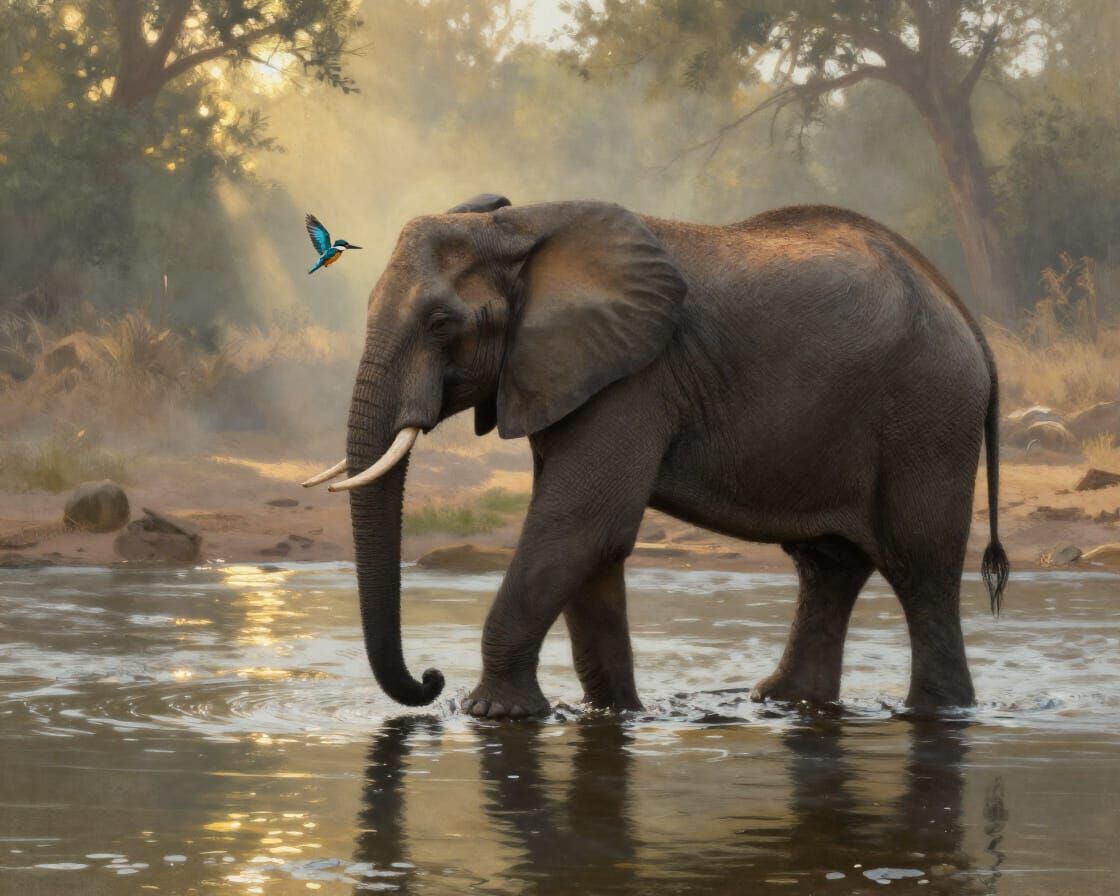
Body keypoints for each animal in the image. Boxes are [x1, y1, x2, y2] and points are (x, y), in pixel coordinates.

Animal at [303, 194, 1009, 718]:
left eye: (441, 324)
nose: (430, 680)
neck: (519, 228)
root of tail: (970, 323)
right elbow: (590, 548)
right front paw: (614, 715)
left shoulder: (633, 378)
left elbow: (580, 526)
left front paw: (490, 714)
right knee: (828, 567)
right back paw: (785, 704)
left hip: (928, 416)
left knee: (920, 567)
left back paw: (936, 715)